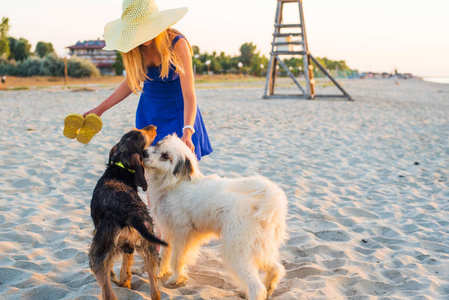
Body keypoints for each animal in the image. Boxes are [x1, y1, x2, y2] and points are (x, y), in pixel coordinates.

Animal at [87, 125, 164, 298]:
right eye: (141, 132)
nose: (153, 127)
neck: (120, 168)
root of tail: (129, 212)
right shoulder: (129, 245)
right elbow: (126, 265)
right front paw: (126, 282)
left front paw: (118, 279)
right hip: (148, 247)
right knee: (155, 291)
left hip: (98, 253)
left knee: (107, 291)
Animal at [144, 135, 288, 298]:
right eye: (157, 144)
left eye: (166, 156)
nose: (144, 153)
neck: (175, 184)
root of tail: (267, 202)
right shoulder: (167, 230)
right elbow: (164, 254)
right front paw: (160, 273)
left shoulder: (181, 234)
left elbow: (177, 259)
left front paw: (175, 278)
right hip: (259, 247)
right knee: (276, 268)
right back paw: (269, 286)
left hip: (237, 251)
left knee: (257, 288)